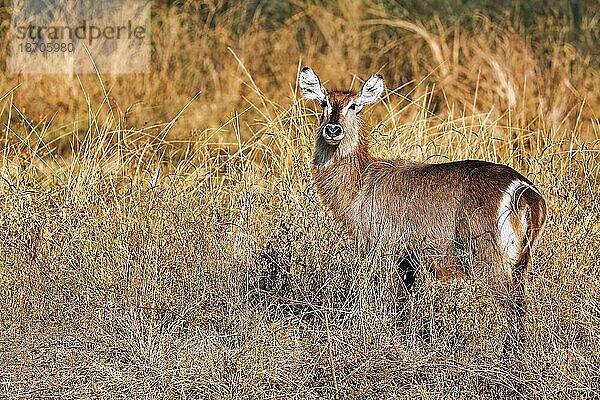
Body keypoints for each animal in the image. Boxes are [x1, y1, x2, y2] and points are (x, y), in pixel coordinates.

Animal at [298, 67, 548, 354]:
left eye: (354, 105)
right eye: (324, 103)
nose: (332, 129)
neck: (360, 183)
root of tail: (524, 191)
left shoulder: (385, 248)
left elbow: (393, 299)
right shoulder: (409, 260)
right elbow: (405, 302)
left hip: (488, 258)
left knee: (513, 303)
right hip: (521, 261)